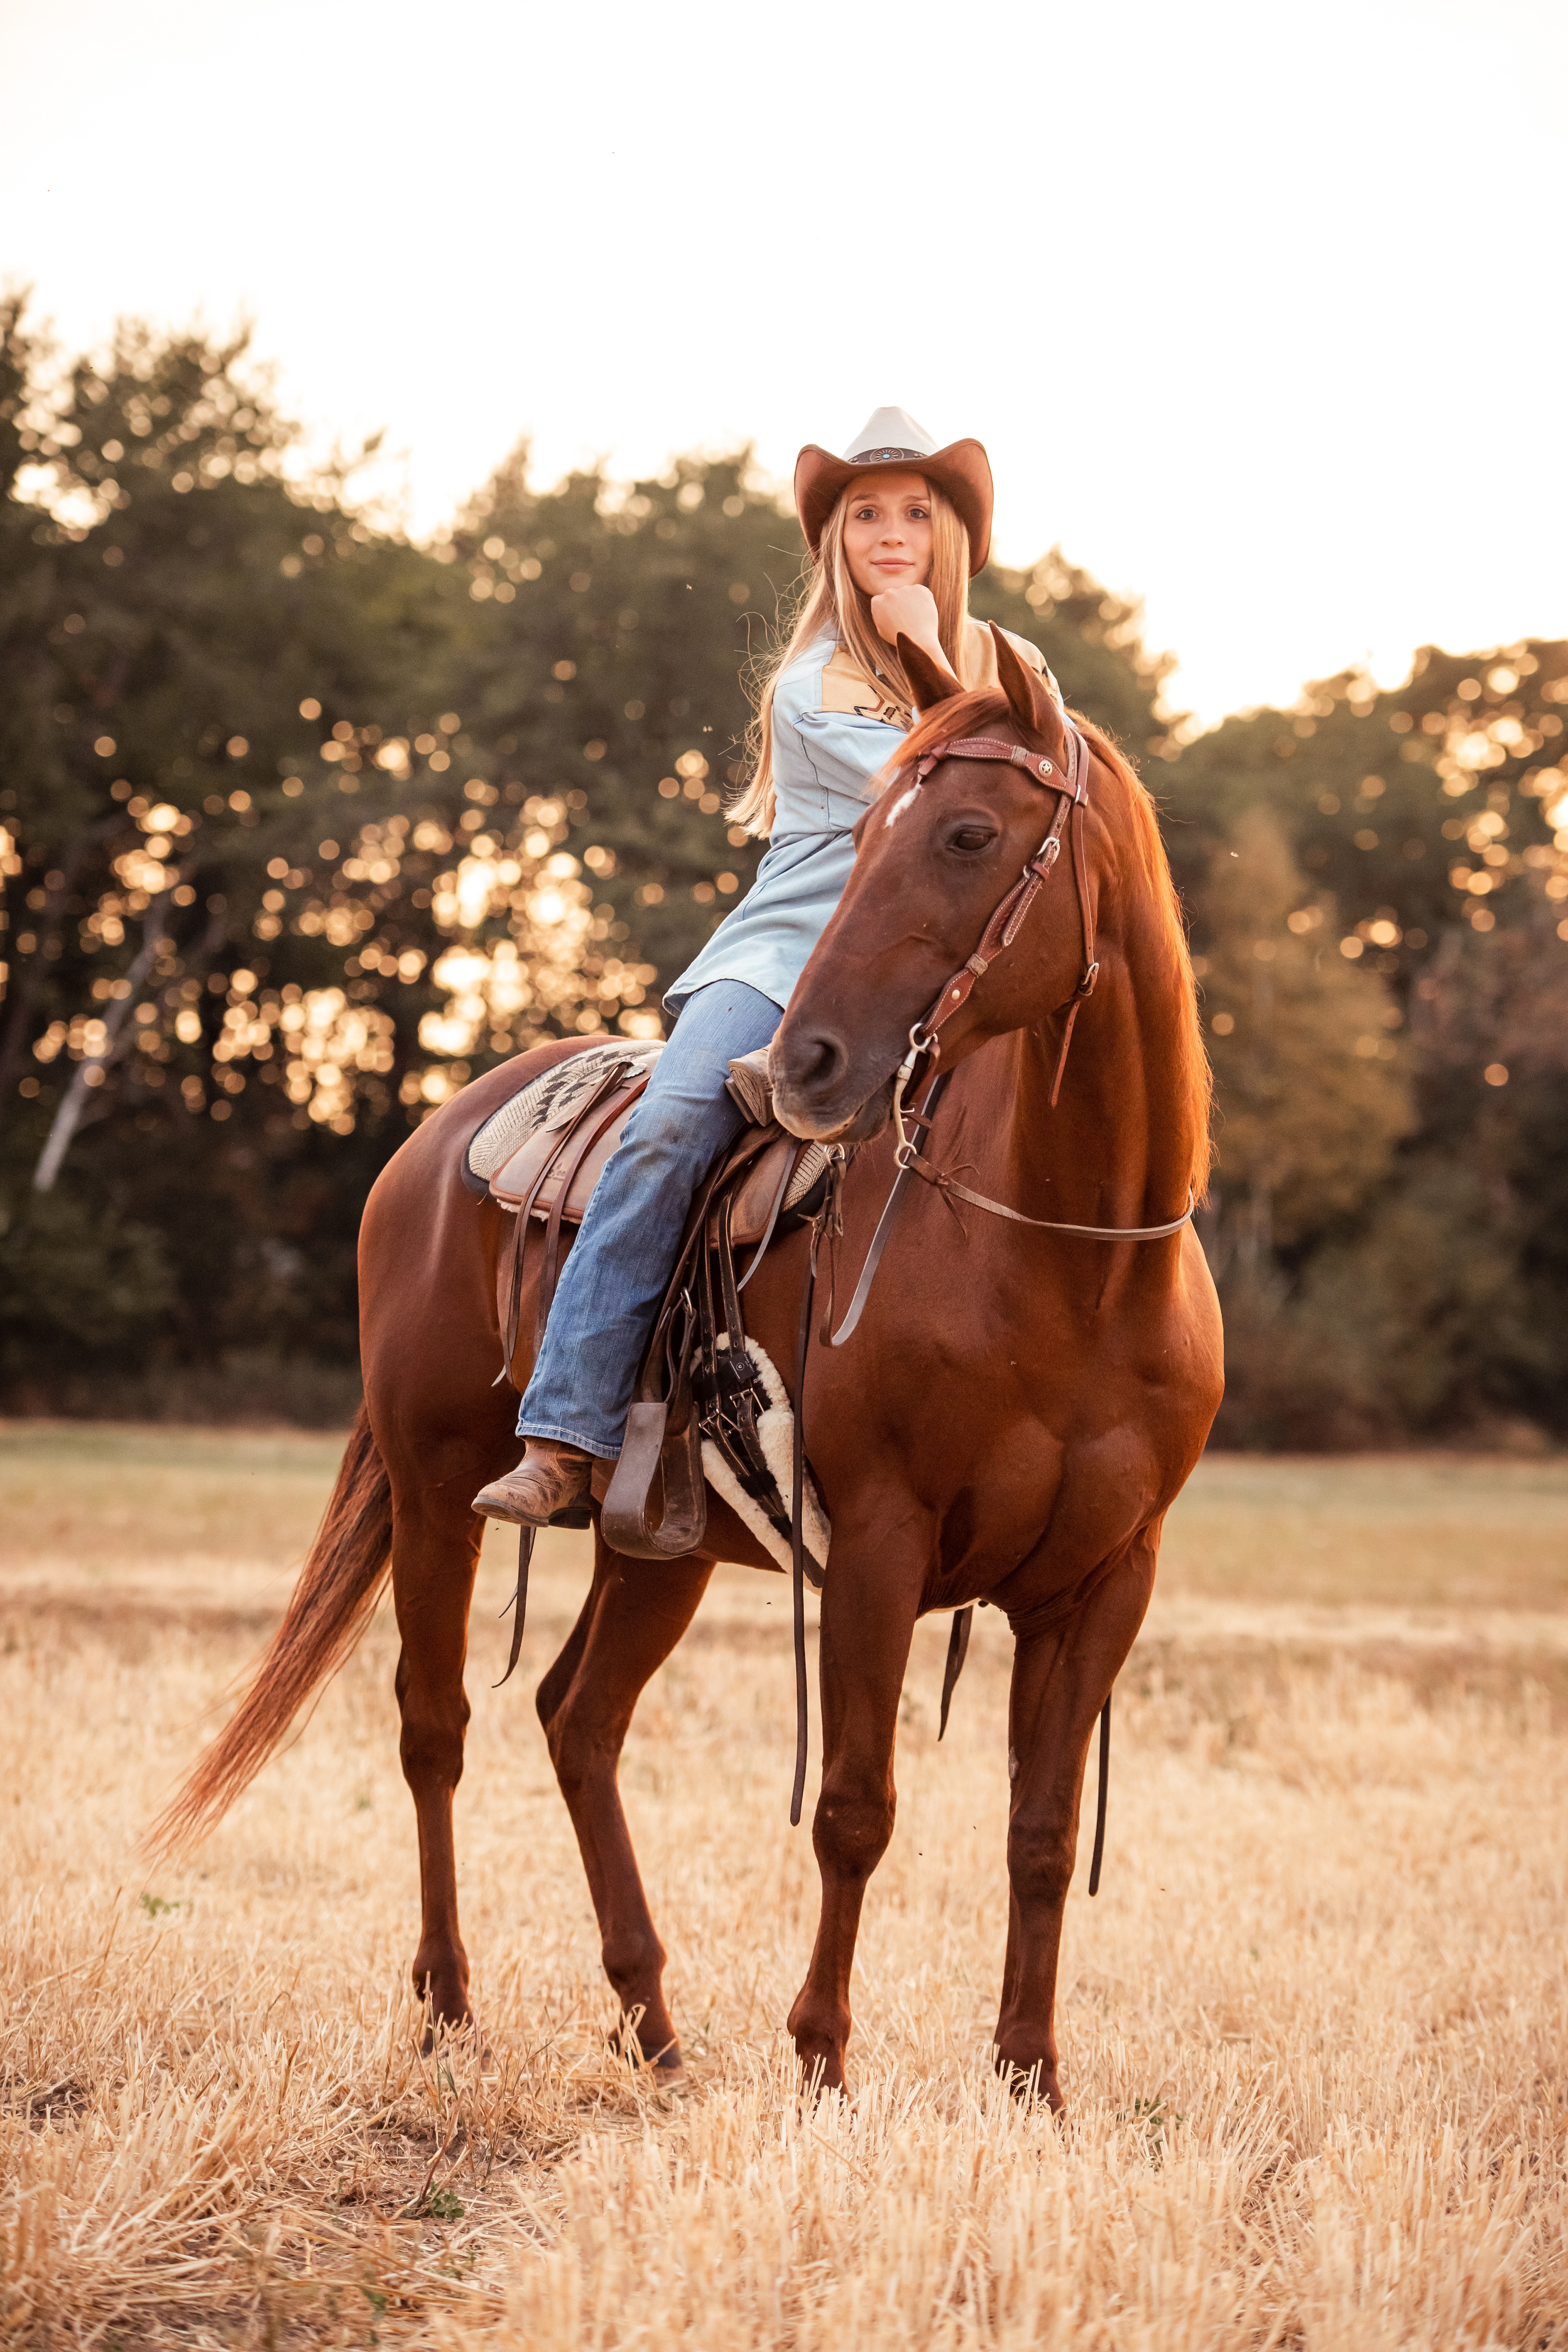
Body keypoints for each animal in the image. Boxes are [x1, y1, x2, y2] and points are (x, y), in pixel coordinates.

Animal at [155, 627, 1222, 2110]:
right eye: (860, 831)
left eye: (965, 832)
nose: (809, 1062)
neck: (1074, 1265)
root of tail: (435, 1137)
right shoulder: (880, 1547)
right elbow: (856, 1809)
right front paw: (822, 2065)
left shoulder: (1105, 1585)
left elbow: (1043, 1832)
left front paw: (1032, 2085)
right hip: (435, 1490)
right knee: (436, 1724)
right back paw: (449, 2008)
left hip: (655, 1545)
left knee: (577, 1719)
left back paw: (651, 2022)